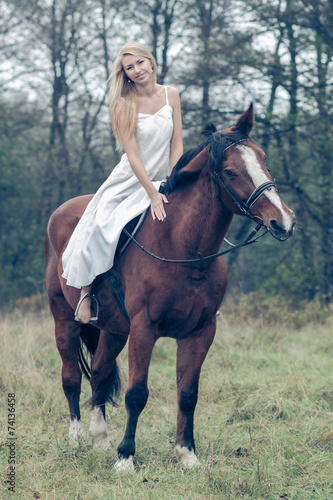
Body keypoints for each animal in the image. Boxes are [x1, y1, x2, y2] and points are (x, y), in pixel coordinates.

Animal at [44, 103, 296, 470]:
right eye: (231, 172)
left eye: (263, 160)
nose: (284, 221)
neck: (185, 250)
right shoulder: (144, 328)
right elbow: (137, 393)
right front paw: (126, 458)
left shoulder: (201, 330)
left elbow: (188, 394)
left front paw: (186, 454)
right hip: (64, 319)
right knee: (72, 377)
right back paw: (76, 437)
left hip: (114, 329)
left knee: (101, 373)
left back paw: (100, 439)